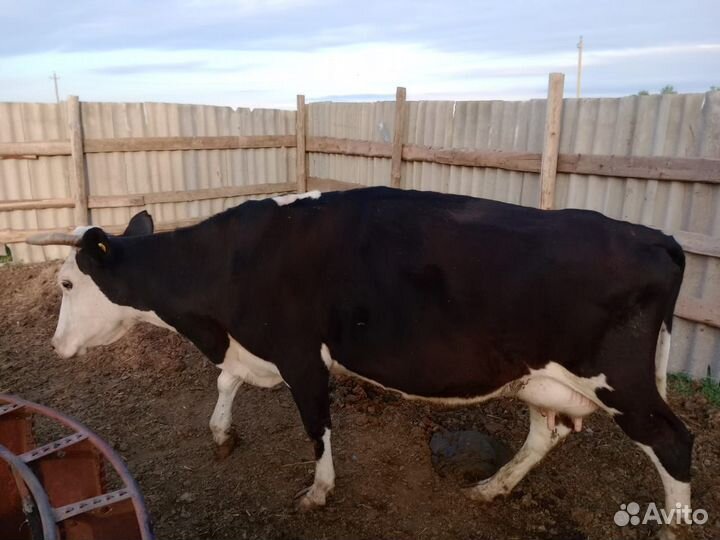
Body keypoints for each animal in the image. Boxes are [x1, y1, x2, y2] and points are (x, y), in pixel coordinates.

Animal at [28, 187, 692, 539]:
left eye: (65, 283)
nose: (54, 347)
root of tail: (655, 236)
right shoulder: (253, 347)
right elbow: (226, 381)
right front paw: (221, 434)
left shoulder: (300, 355)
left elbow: (316, 427)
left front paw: (318, 491)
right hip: (540, 377)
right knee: (547, 432)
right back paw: (492, 487)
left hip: (622, 382)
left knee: (674, 440)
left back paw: (670, 526)